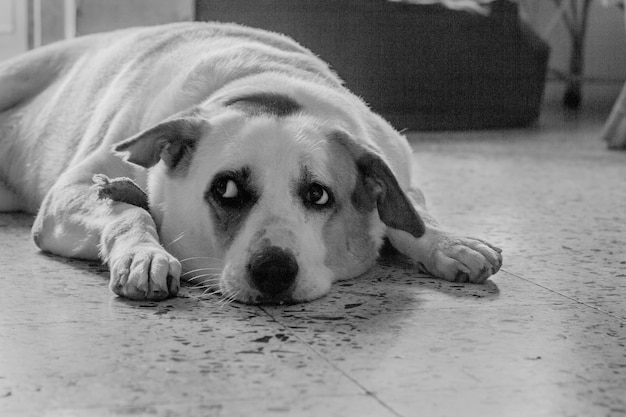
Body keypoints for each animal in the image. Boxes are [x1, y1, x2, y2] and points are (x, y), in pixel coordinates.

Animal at [0, 22, 500, 302]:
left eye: (318, 195)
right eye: (226, 190)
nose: (274, 271)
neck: (267, 86)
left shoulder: (393, 162)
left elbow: (411, 216)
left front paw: (448, 243)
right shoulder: (71, 193)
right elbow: (128, 210)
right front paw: (145, 254)